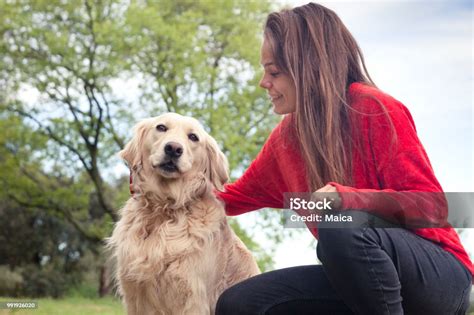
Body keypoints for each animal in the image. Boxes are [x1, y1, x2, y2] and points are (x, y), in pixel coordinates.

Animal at [107, 114, 262, 315]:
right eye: (161, 127)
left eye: (193, 137)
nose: (173, 148)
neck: (163, 208)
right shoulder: (136, 295)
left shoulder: (191, 297)